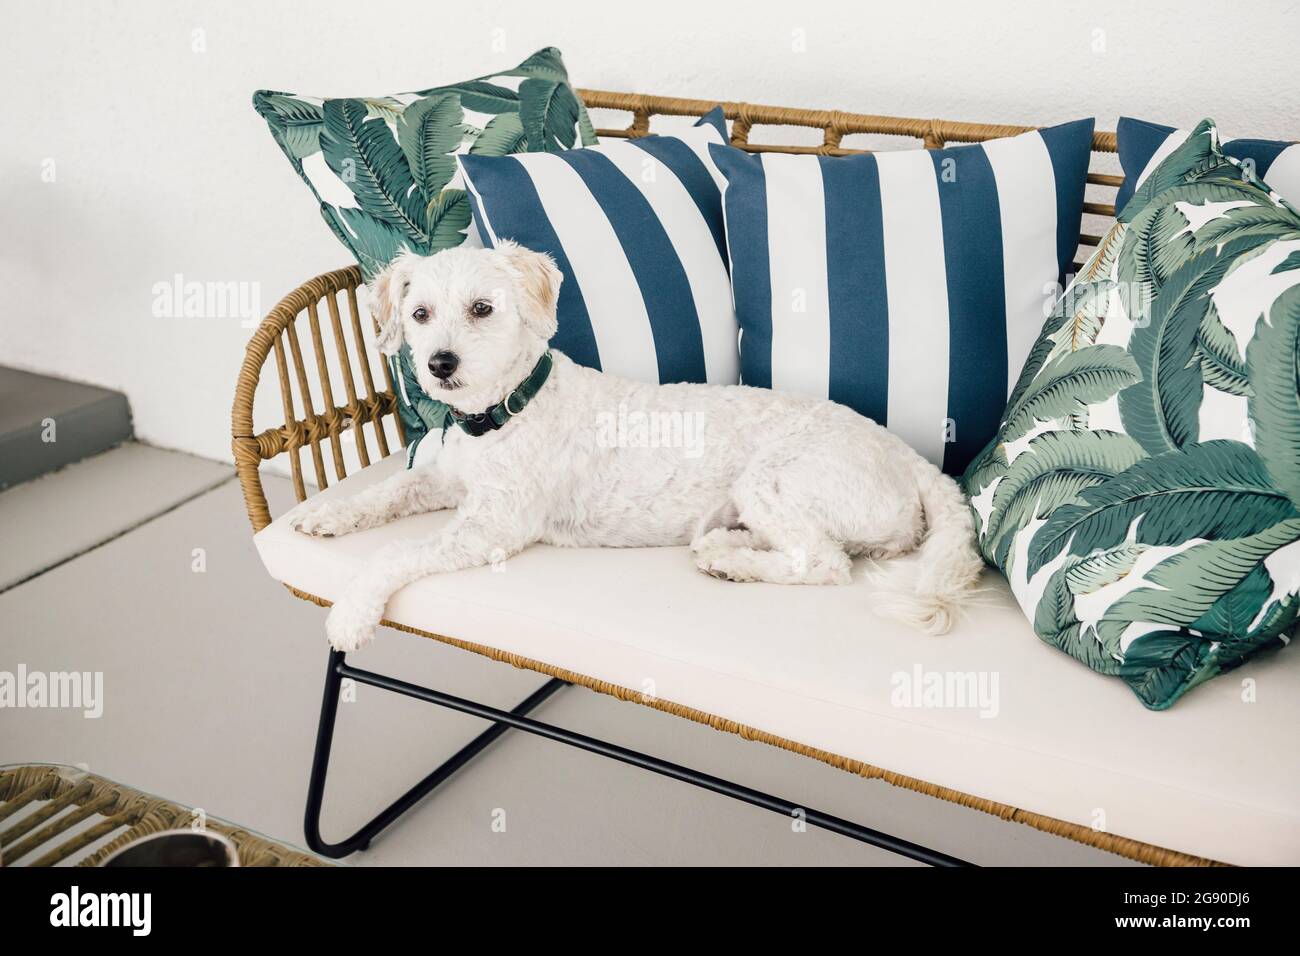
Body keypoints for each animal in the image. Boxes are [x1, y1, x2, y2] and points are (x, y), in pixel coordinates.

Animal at [295, 243, 977, 655]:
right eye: (419, 313)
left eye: (482, 308)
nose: (440, 364)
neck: (508, 409)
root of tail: (912, 460)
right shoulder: (442, 482)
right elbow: (389, 490)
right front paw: (324, 514)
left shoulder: (492, 526)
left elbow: (396, 553)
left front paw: (351, 613)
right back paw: (727, 548)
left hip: (774, 480)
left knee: (825, 562)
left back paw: (735, 563)